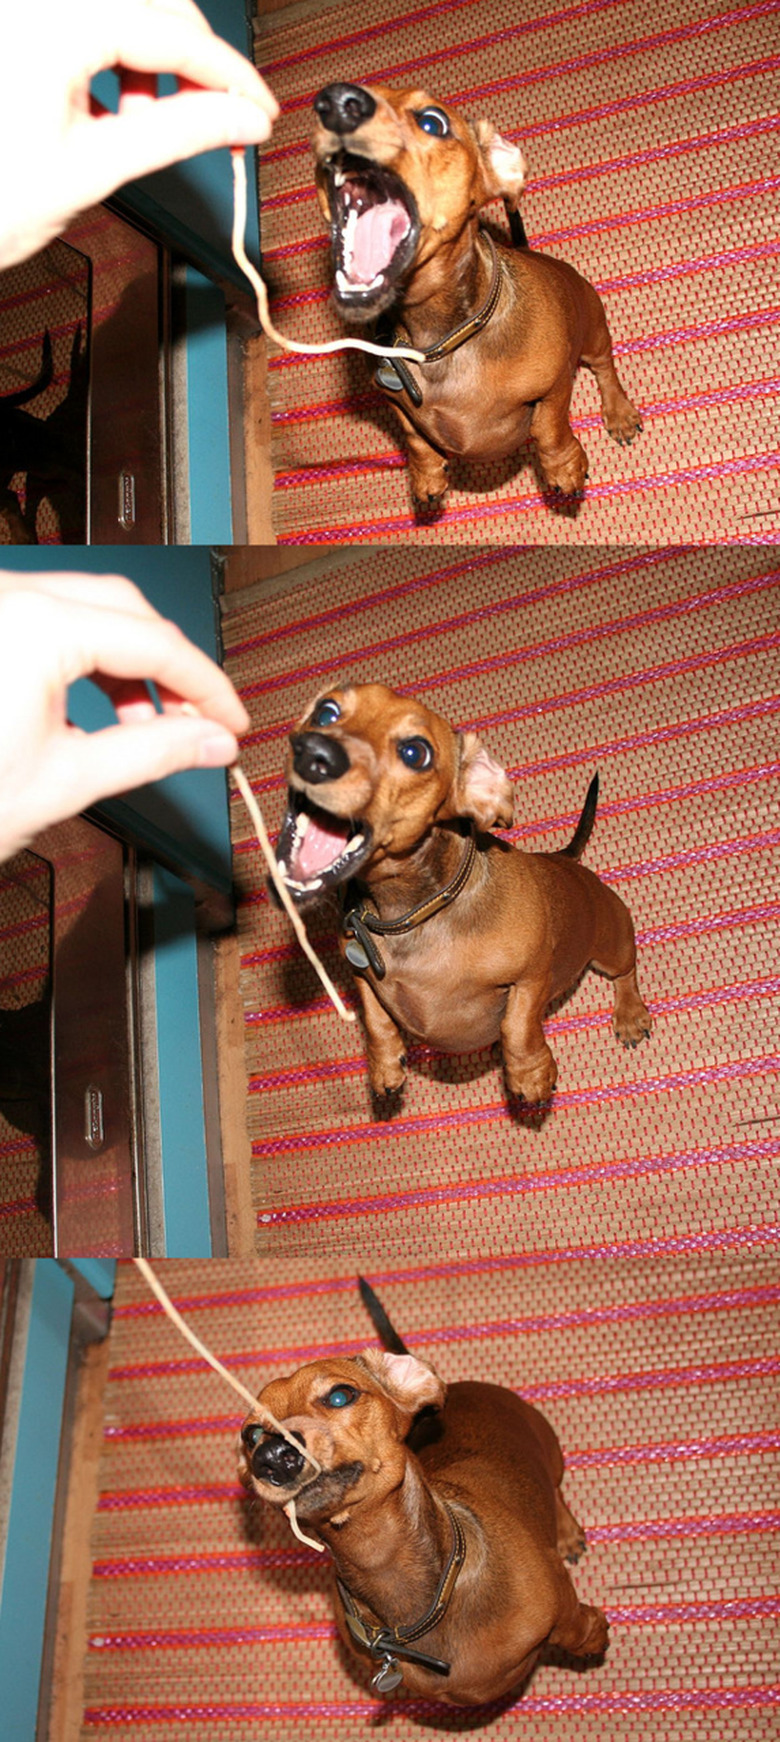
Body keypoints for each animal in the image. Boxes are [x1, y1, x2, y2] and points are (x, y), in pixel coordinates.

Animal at [238, 1275, 609, 1707]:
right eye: (252, 1434)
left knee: (556, 1490)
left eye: (340, 1395)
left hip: (551, 1451)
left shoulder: (568, 1616)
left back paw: (566, 1534)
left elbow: (582, 1631)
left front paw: (596, 1641)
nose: (272, 1456)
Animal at [276, 679, 647, 1100]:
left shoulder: (532, 975)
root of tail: (565, 858)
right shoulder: (359, 972)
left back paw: (630, 1014)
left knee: (626, 972)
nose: (313, 753)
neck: (413, 915)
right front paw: (385, 1066)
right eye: (326, 712)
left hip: (611, 946)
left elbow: (518, 1026)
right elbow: (375, 1019)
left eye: (415, 753)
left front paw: (529, 1074)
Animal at [309, 83, 640, 508]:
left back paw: (620, 413)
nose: (335, 102)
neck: (440, 342)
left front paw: (563, 467)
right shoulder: (394, 400)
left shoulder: (553, 388)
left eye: (432, 122)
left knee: (605, 369)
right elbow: (414, 437)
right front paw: (427, 475)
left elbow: (550, 428)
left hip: (593, 330)